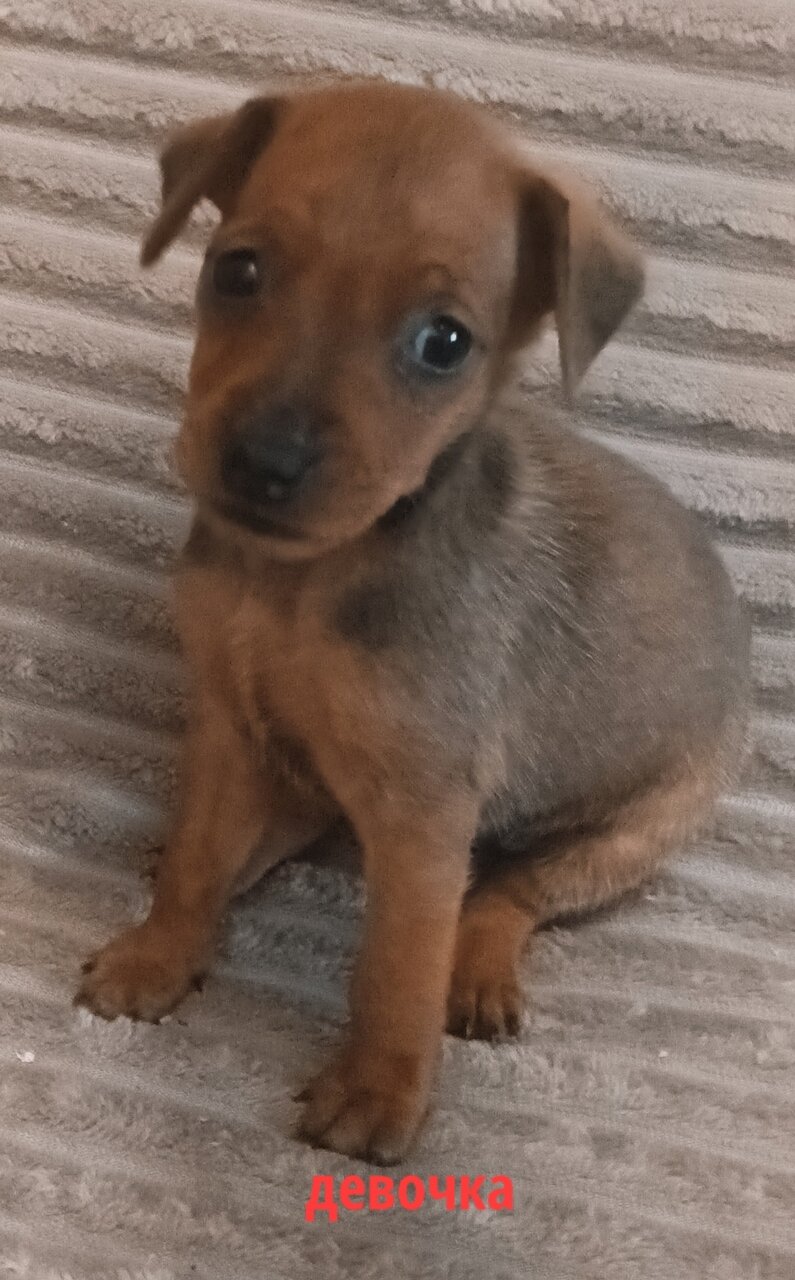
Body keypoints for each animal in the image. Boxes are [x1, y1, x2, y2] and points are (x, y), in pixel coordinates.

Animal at [76, 81, 749, 1163]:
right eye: (238, 270)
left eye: (446, 342)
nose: (264, 463)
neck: (303, 582)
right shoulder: (225, 722)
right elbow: (199, 855)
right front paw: (159, 951)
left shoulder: (424, 808)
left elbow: (399, 959)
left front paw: (379, 1091)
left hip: (635, 833)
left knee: (507, 894)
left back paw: (476, 971)